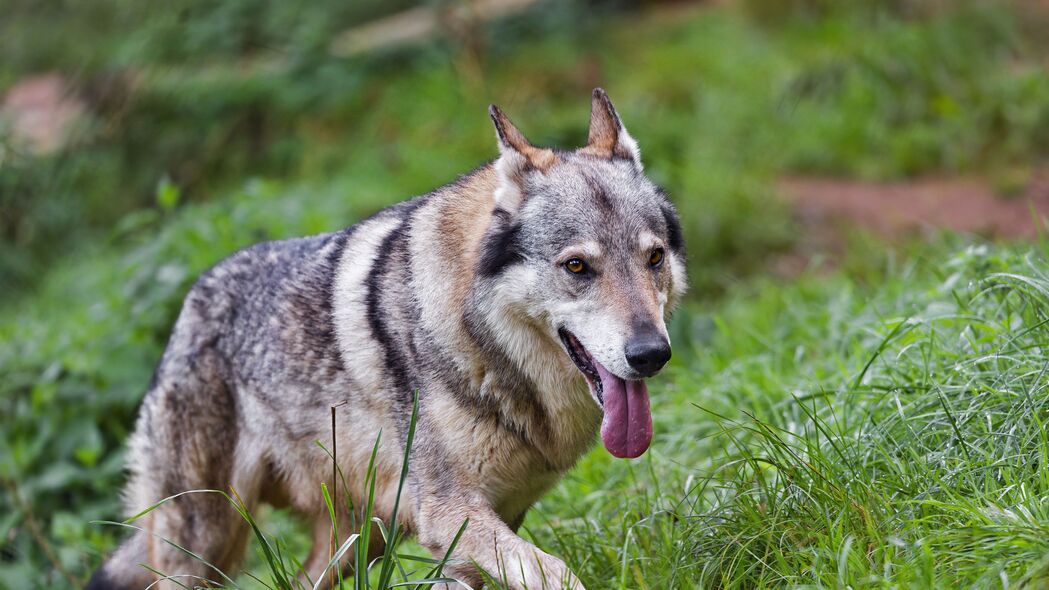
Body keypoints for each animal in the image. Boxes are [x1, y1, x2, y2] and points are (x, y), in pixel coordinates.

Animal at [88, 88, 688, 587]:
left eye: (653, 258)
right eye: (578, 267)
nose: (651, 355)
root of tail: (189, 303)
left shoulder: (484, 526)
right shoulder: (449, 515)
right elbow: (557, 572)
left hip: (359, 540)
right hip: (206, 542)